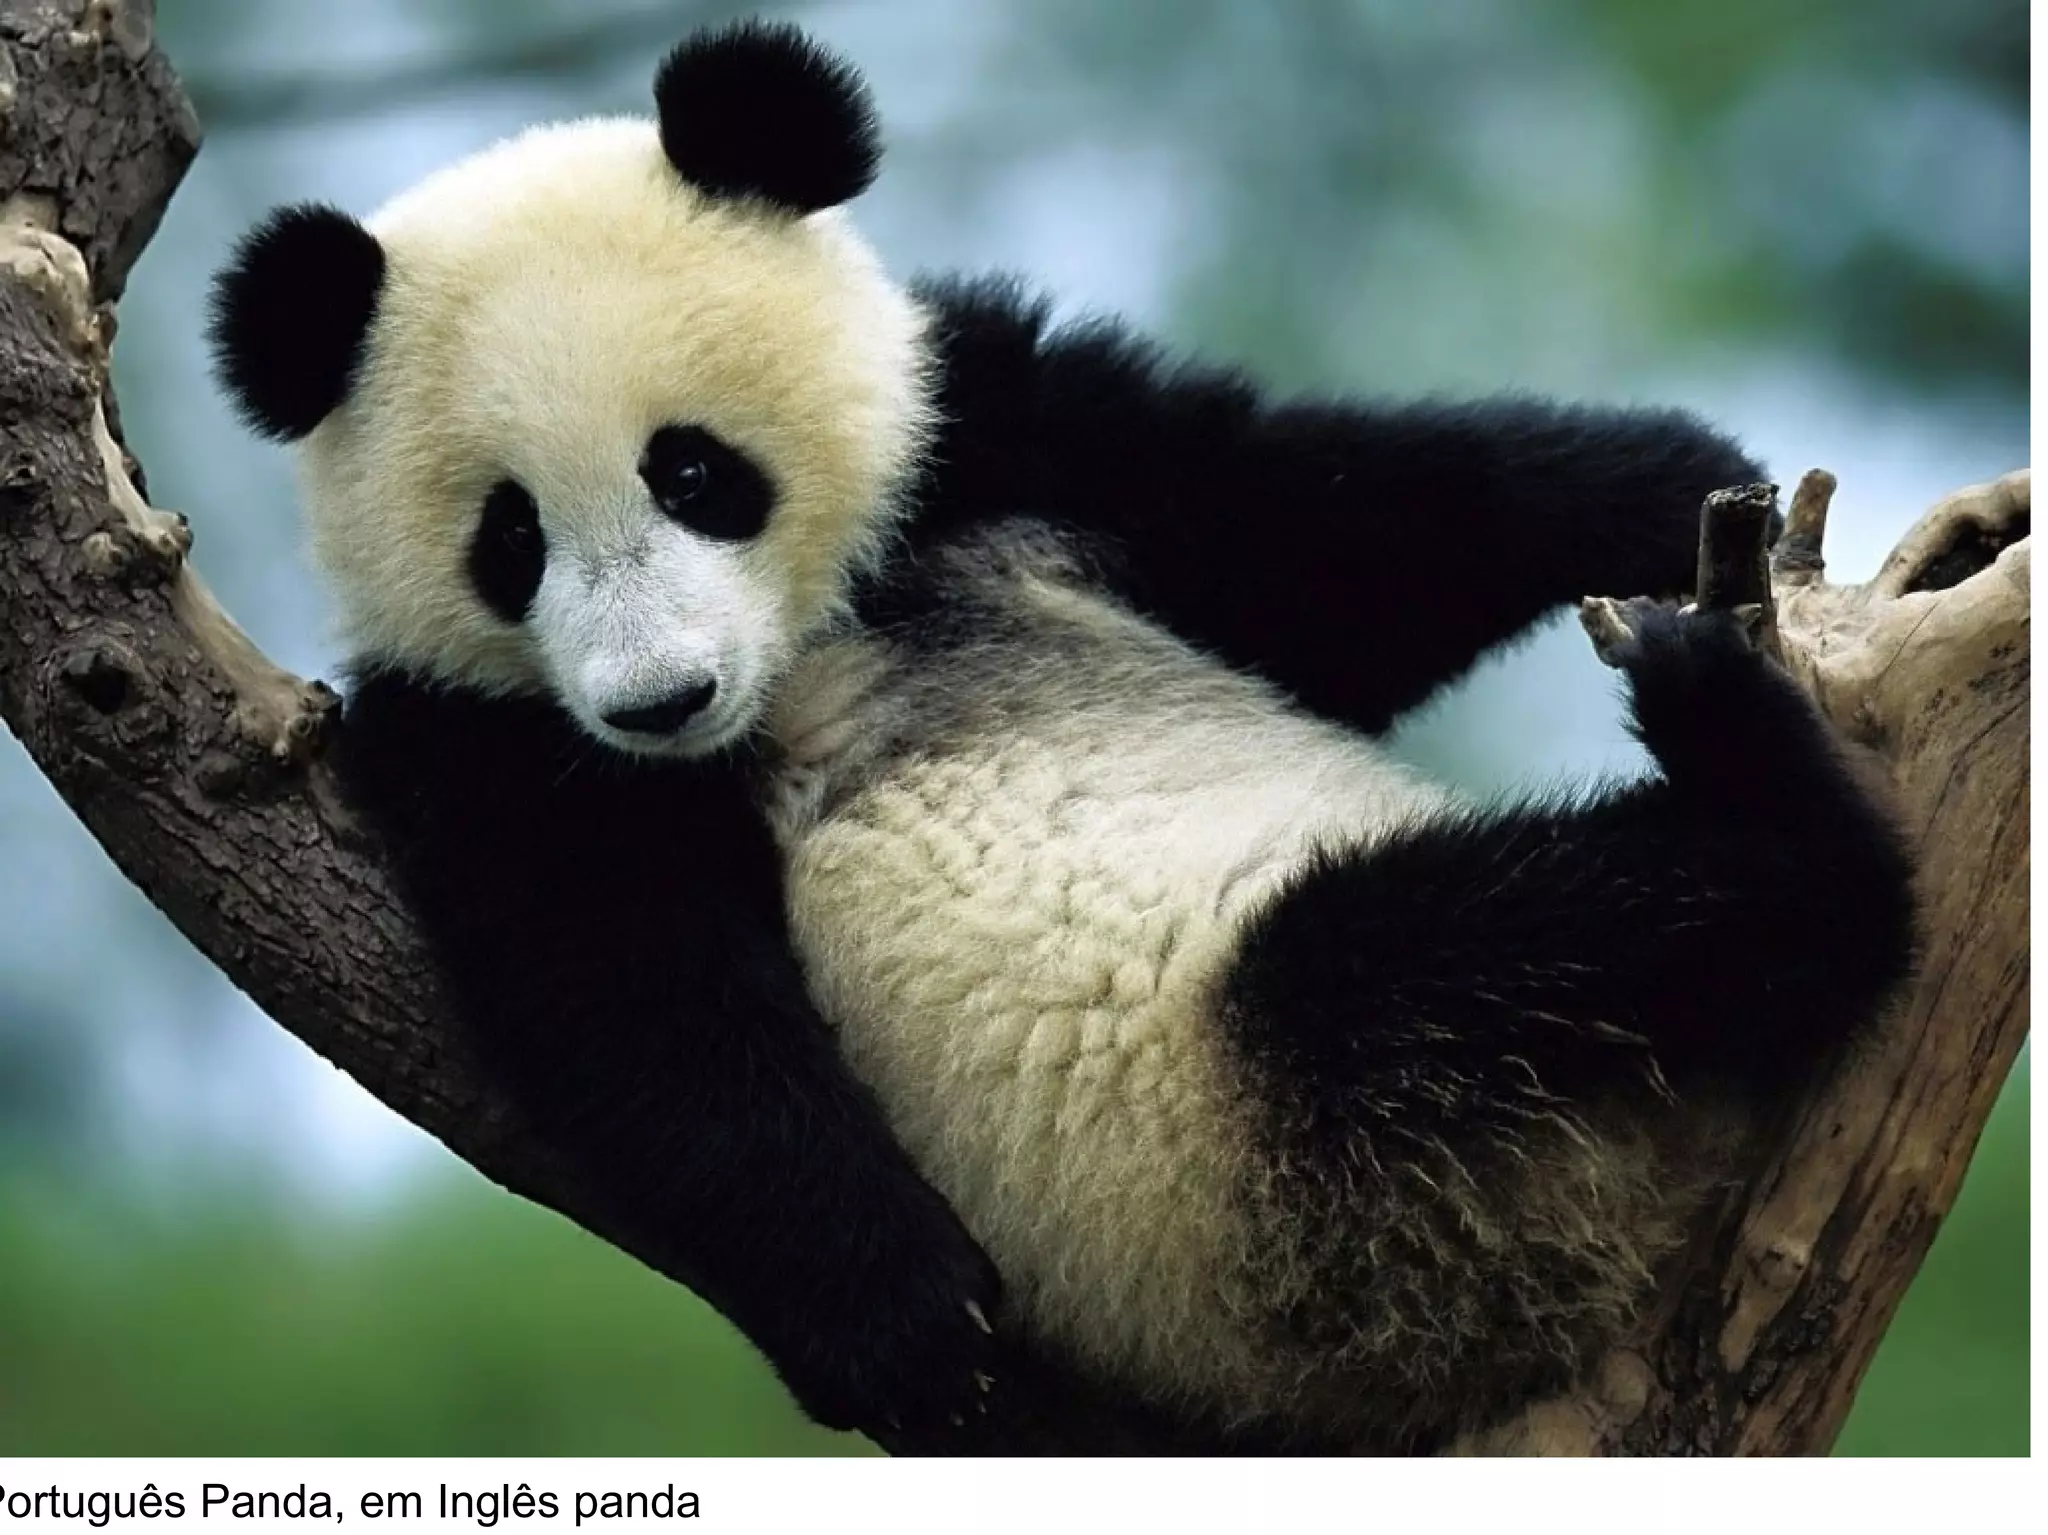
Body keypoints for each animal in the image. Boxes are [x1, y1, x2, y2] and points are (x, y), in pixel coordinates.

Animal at [207, 20, 1916, 1451]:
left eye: (693, 471)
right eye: (512, 540)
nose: (658, 698)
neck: (810, 645)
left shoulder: (998, 442)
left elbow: (1322, 531)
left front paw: (1675, 479)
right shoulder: (489, 738)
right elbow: (636, 992)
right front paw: (898, 1314)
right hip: (1311, 1172)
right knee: (1455, 957)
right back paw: (1752, 775)